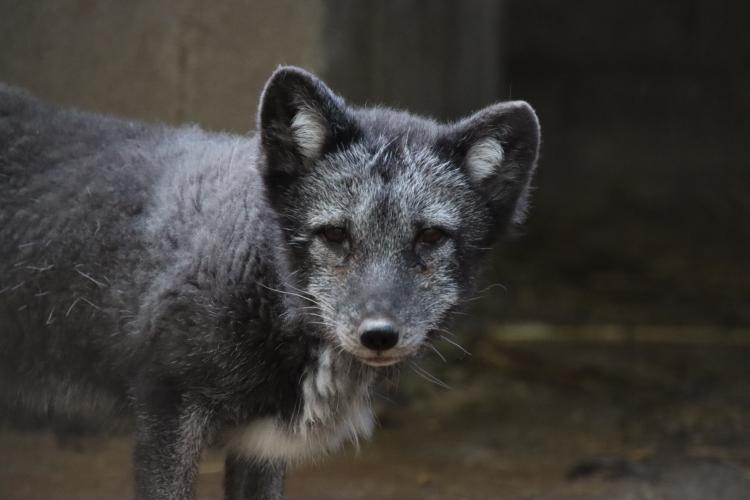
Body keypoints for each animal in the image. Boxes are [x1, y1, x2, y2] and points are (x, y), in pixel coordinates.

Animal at [0, 67, 540, 500]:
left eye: (429, 237)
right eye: (335, 235)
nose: (378, 335)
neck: (261, 286)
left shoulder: (263, 445)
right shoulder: (166, 414)